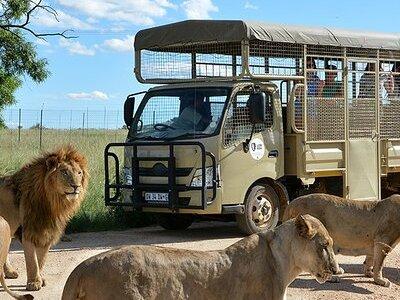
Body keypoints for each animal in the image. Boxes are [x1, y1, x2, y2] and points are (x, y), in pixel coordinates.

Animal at [0, 145, 88, 290]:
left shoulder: (47, 231)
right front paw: (34, 283)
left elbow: (41, 259)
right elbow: (32, 260)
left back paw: (9, 273)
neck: (52, 202)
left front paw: (40, 279)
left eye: (79, 173)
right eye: (64, 172)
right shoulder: (29, 230)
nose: (76, 186)